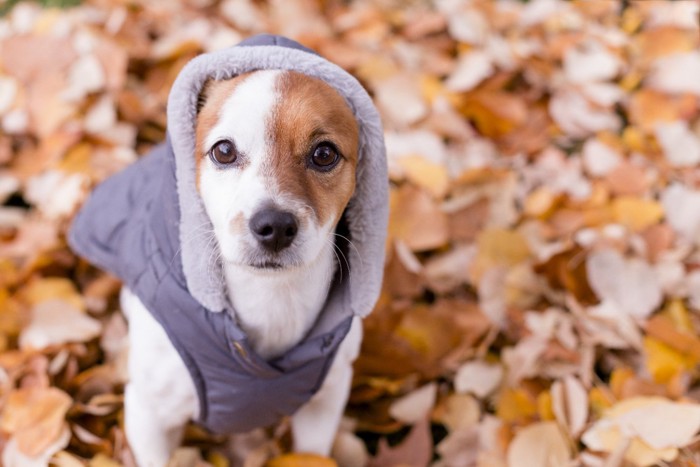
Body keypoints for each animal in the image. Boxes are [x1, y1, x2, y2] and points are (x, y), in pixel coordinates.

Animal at [121, 70, 360, 467]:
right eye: (224, 151)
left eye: (324, 154)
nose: (275, 225)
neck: (269, 298)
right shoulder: (147, 415)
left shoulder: (325, 400)